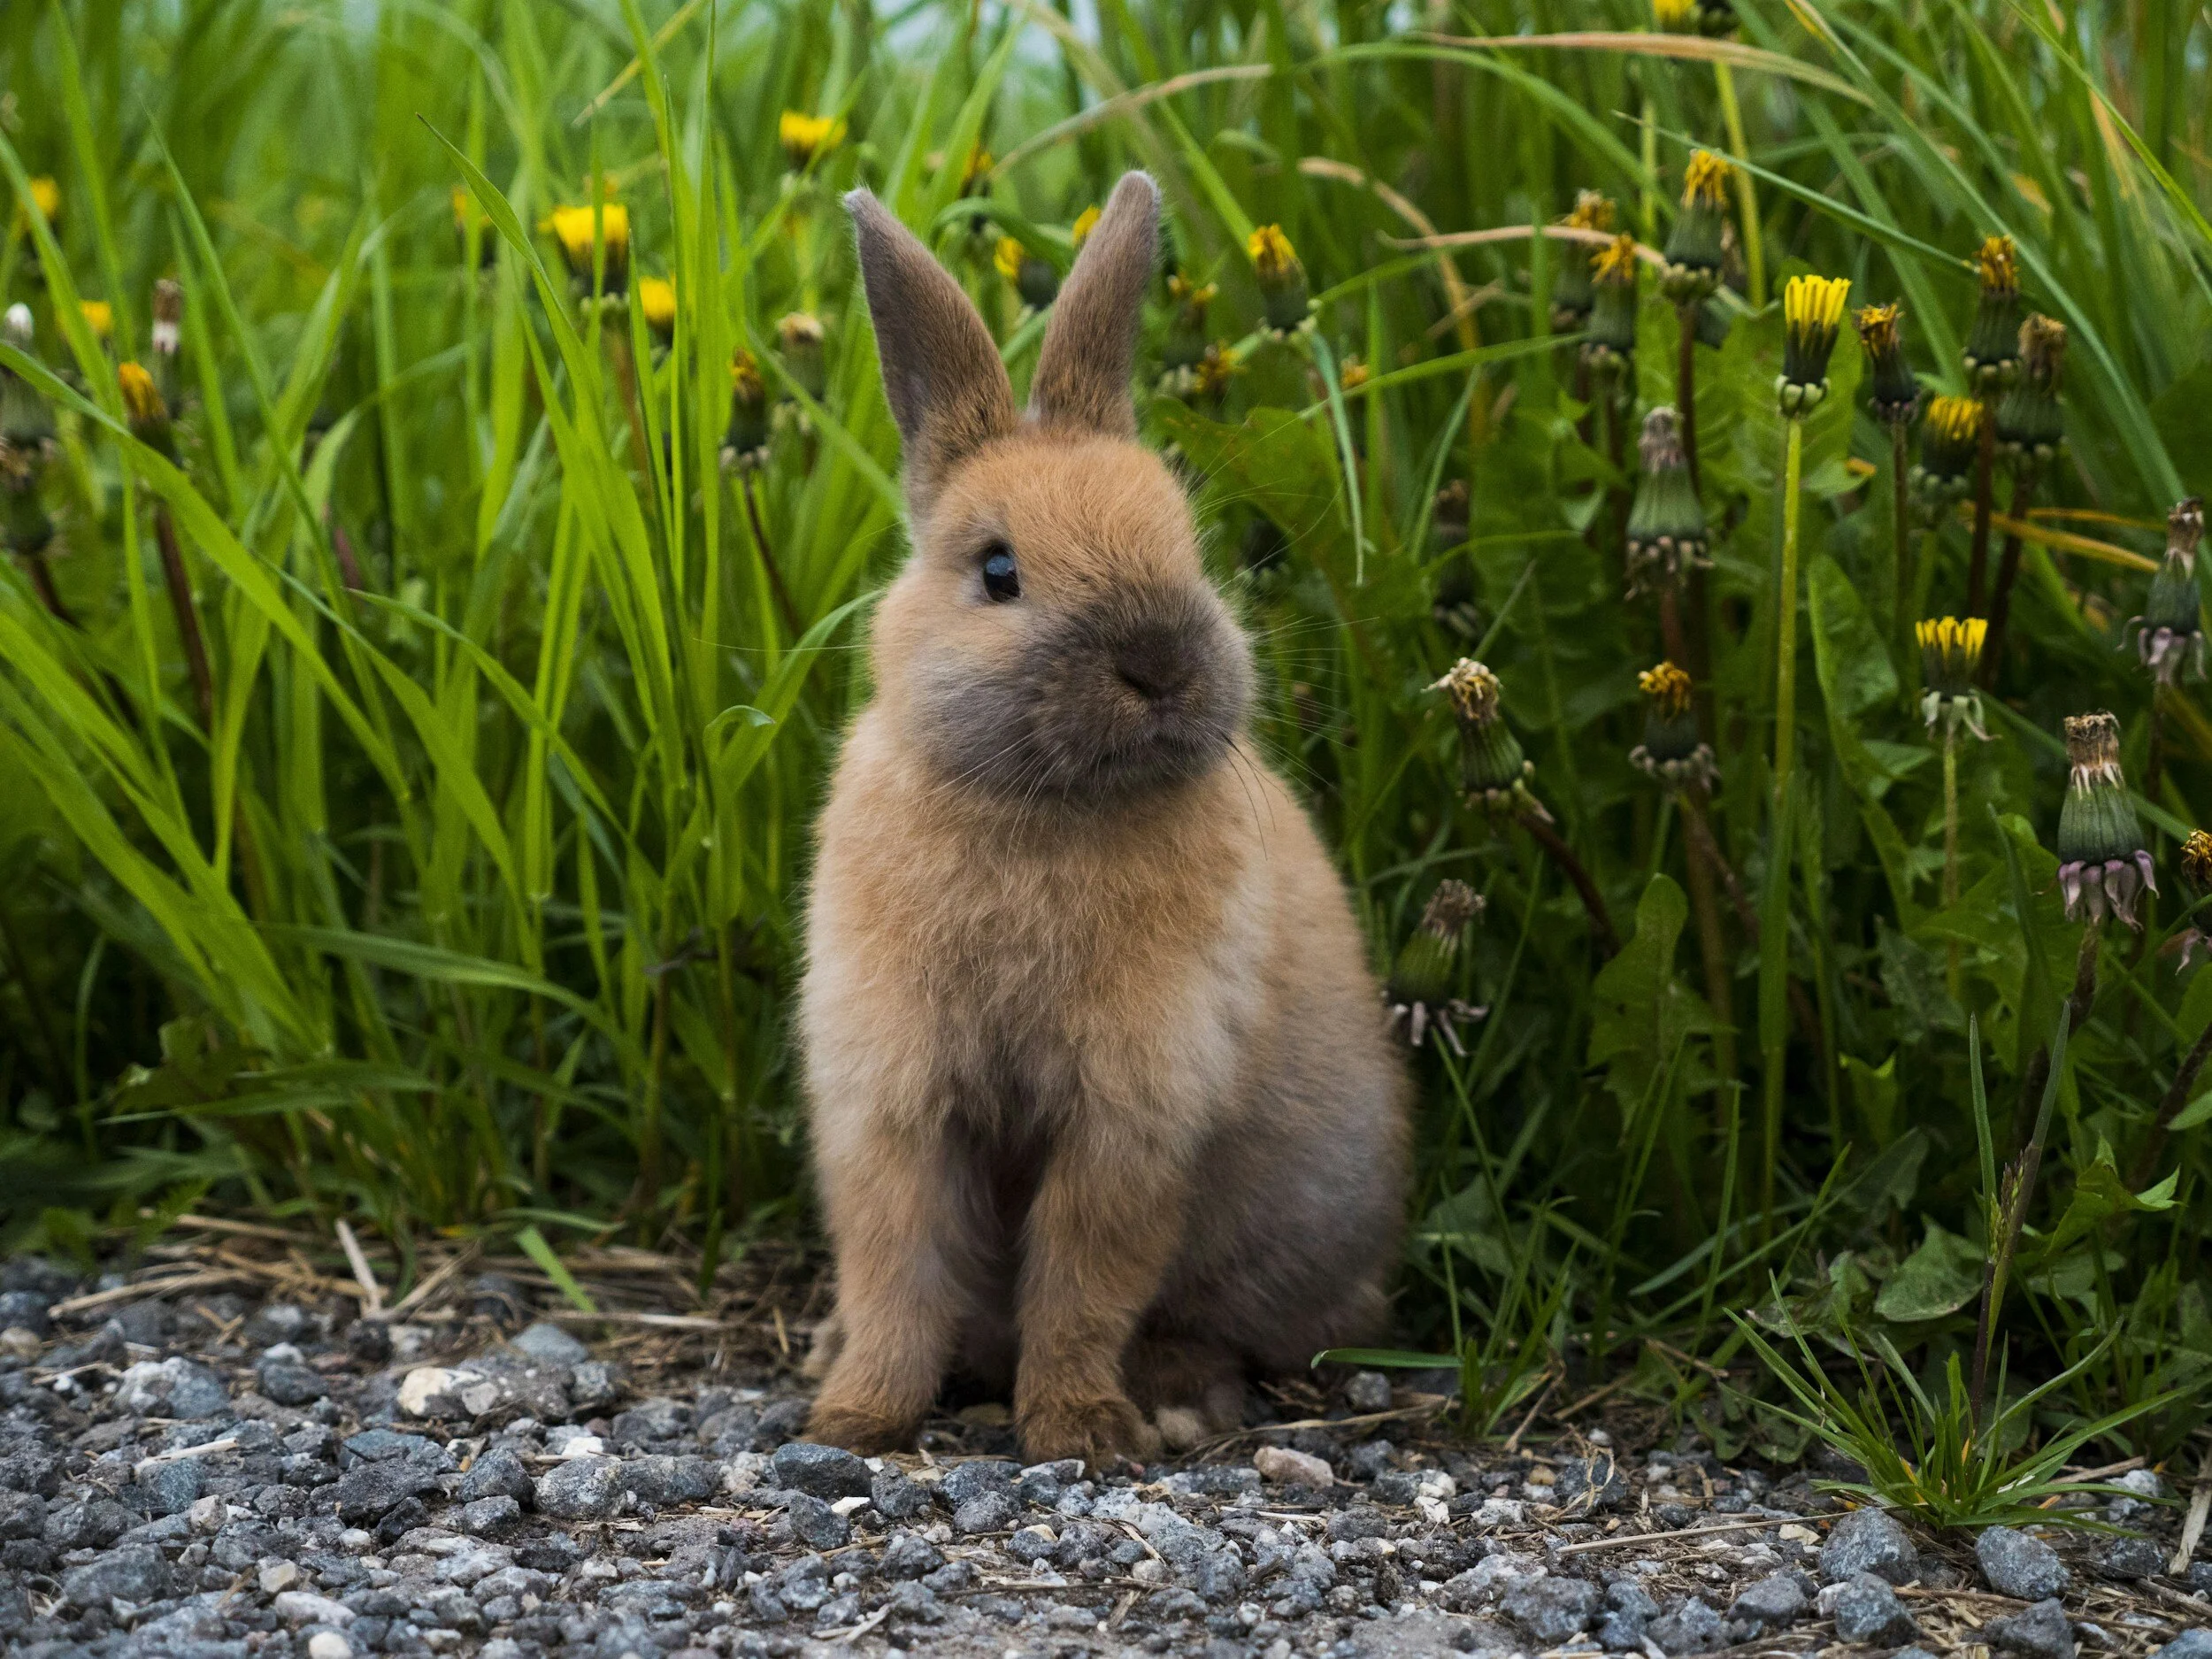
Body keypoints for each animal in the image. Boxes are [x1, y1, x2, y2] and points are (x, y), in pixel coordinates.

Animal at [798, 171, 1409, 1466]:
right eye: (996, 571)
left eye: (1186, 543)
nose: (1161, 661)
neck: (1042, 804)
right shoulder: (892, 1098)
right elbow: (895, 1268)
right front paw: (857, 1415)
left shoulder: (1132, 1111)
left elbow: (1085, 1278)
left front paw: (1080, 1429)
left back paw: (1177, 1396)